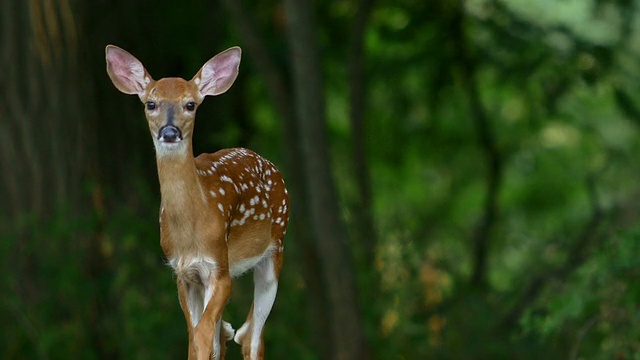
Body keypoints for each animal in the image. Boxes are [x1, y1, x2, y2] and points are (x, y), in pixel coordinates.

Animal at [105, 45, 290, 360]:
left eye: (190, 104)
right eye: (151, 103)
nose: (169, 132)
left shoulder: (220, 267)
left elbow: (203, 335)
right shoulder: (183, 273)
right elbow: (195, 338)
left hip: (275, 248)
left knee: (252, 334)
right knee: (227, 333)